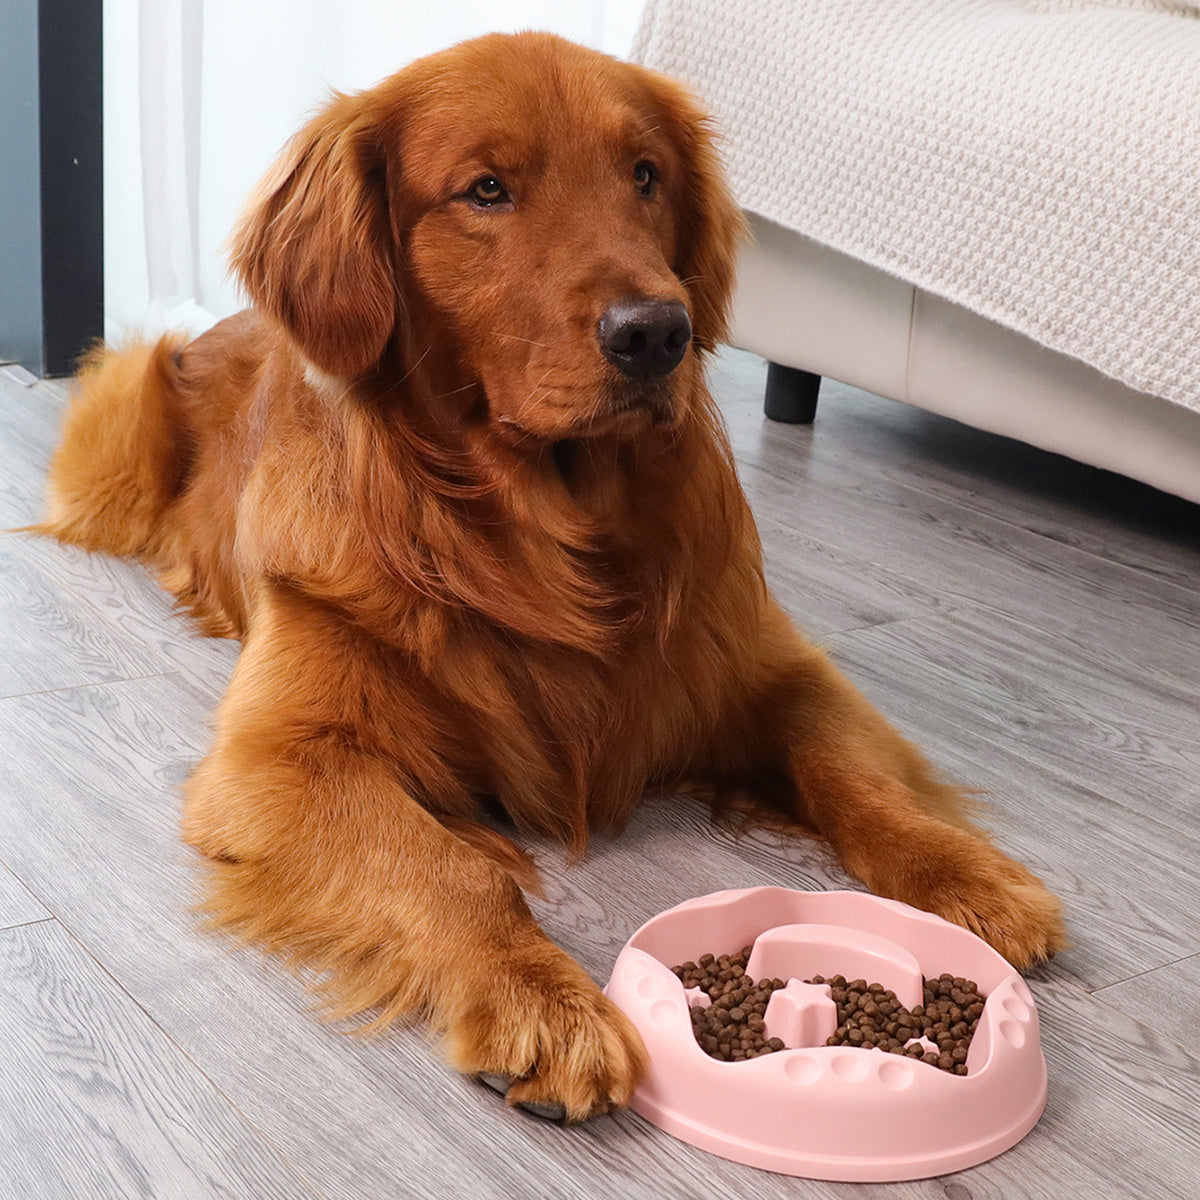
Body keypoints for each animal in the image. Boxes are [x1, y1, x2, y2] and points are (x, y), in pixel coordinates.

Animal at [35, 32, 1070, 1118]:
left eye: (645, 175)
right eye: (486, 189)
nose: (656, 332)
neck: (544, 536)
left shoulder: (774, 665)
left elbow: (857, 773)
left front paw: (972, 877)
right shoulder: (279, 760)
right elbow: (452, 868)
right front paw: (538, 999)